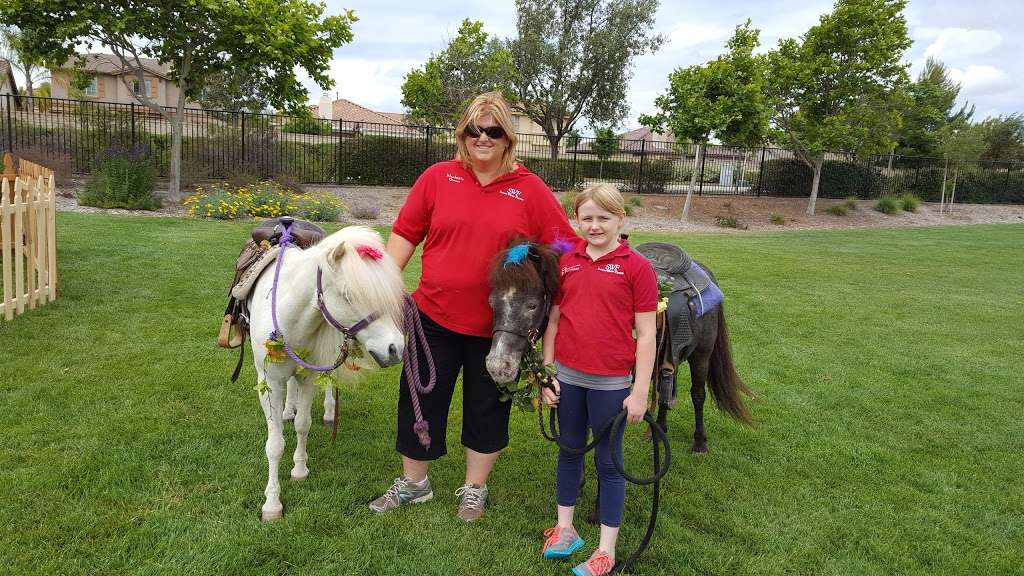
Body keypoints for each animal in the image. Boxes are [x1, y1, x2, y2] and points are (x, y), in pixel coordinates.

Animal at [246, 224, 403, 520]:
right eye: (349, 296)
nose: (396, 348)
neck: (287, 311)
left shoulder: (309, 376)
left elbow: (303, 425)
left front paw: (299, 469)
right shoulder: (269, 383)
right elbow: (274, 445)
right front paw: (272, 503)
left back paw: (329, 411)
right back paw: (288, 409)